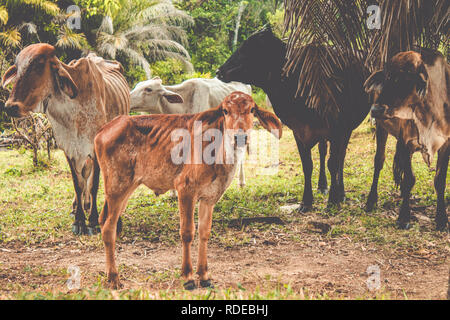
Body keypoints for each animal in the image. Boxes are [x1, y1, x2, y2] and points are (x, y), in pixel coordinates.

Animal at [2, 43, 130, 235]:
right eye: (17, 67)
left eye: (38, 65)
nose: (11, 107)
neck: (71, 109)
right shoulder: (69, 149)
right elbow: (78, 184)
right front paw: (79, 219)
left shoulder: (94, 148)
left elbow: (94, 184)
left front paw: (93, 221)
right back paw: (81, 205)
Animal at [94, 91, 282, 288]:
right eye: (225, 110)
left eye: (252, 109)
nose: (240, 137)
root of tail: (104, 128)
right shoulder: (185, 189)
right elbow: (187, 232)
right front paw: (188, 276)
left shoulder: (209, 198)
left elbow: (204, 232)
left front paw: (204, 275)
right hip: (117, 187)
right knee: (108, 229)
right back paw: (114, 277)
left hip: (126, 188)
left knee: (103, 220)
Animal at [366, 48, 450, 230]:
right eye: (386, 77)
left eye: (403, 78)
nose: (375, 109)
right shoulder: (406, 142)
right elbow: (409, 180)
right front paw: (404, 217)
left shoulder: (446, 144)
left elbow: (440, 180)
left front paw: (441, 219)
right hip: (382, 129)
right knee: (379, 161)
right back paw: (371, 201)